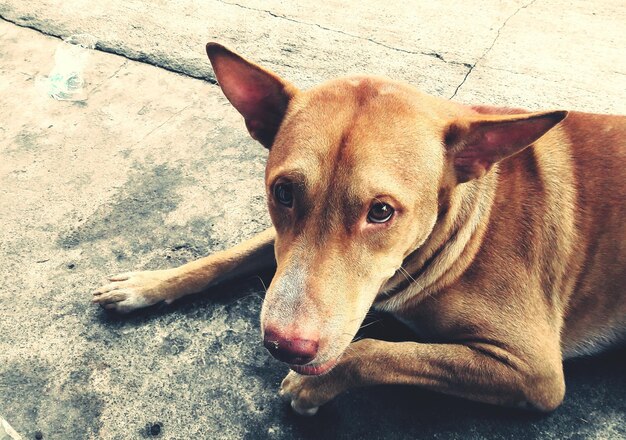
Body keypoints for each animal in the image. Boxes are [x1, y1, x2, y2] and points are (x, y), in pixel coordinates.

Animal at [92, 43, 624, 416]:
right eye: (283, 193)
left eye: (382, 212)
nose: (284, 345)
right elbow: (231, 253)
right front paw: (145, 284)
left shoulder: (534, 372)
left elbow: (380, 352)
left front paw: (313, 385)